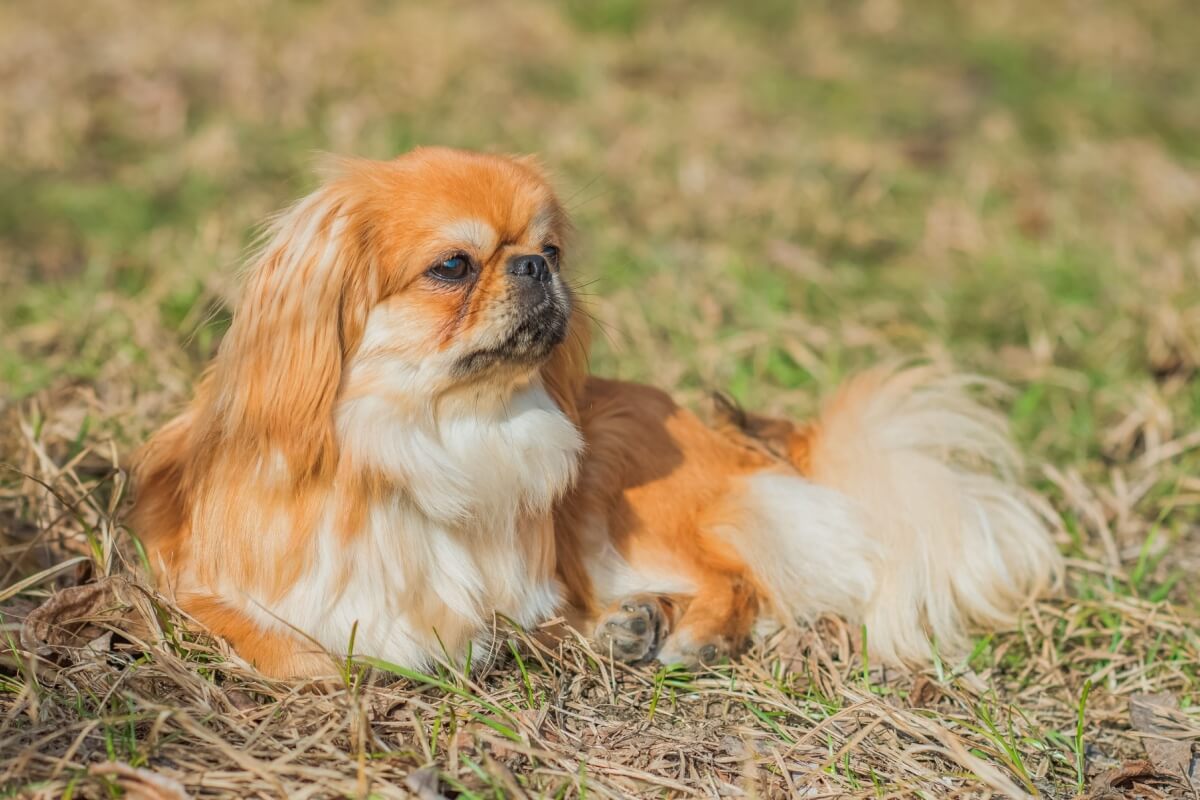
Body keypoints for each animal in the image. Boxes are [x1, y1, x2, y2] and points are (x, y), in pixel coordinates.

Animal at [131, 145, 1065, 676]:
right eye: (453, 266)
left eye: (548, 249)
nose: (537, 268)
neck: (436, 436)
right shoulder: (200, 580)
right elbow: (299, 652)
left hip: (614, 486)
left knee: (740, 576)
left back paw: (682, 633)